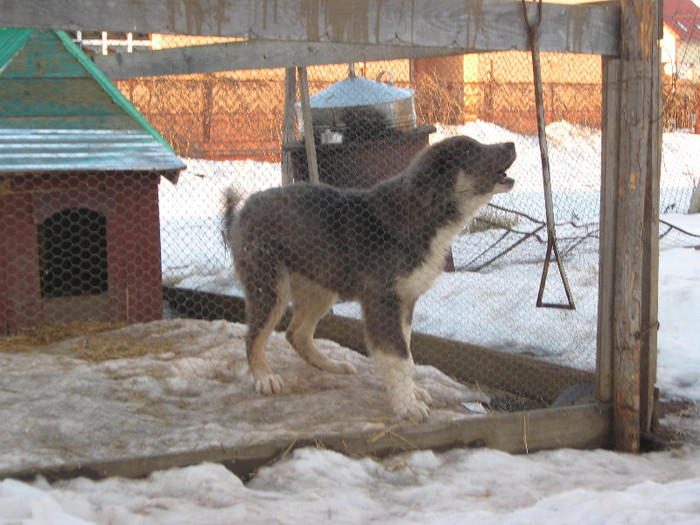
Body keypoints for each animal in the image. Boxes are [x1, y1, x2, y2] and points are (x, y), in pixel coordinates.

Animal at [224, 136, 516, 422]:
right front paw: (407, 406)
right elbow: (399, 356)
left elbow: (407, 355)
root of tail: (246, 204)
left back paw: (331, 365)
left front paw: (412, 393)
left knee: (297, 333)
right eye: (469, 150)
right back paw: (265, 377)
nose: (511, 144)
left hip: (321, 288)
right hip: (270, 287)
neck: (426, 216)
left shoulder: (405, 302)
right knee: (254, 337)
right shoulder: (383, 301)